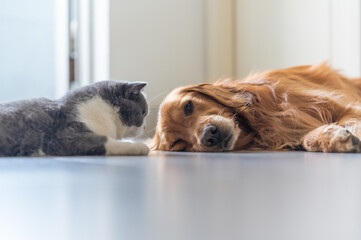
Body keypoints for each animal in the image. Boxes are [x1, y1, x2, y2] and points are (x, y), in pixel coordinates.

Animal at [150, 63, 360, 153]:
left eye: (188, 106)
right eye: (178, 144)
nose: (208, 136)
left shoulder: (345, 105)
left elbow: (348, 119)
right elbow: (306, 140)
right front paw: (335, 137)